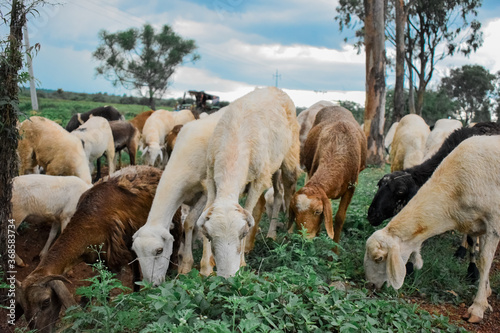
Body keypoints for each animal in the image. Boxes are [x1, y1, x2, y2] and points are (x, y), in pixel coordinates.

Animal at [16, 165, 183, 332]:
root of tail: (153, 168)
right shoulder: (98, 259)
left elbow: (102, 290)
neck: (88, 224)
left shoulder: (113, 259)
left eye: (45, 302)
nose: (39, 330)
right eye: (23, 307)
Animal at [194, 86, 300, 278]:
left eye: (242, 234)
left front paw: (242, 262)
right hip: (272, 166)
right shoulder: (211, 178)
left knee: (288, 192)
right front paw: (205, 268)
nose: (227, 278)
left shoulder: (258, 181)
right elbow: (208, 208)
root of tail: (276, 89)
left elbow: (249, 210)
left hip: (288, 161)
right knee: (278, 194)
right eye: (210, 237)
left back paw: (282, 233)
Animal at [290, 105, 368, 252]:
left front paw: (334, 253)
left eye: (318, 211)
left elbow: (339, 218)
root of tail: (335, 105)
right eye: (295, 210)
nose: (303, 239)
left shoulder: (351, 187)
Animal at [364, 134, 500, 322]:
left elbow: (484, 261)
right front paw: (486, 292)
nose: (369, 285)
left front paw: (478, 307)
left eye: (379, 258)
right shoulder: (474, 224)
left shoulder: (493, 224)